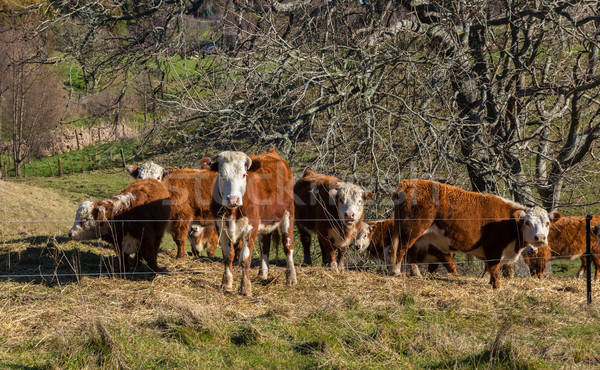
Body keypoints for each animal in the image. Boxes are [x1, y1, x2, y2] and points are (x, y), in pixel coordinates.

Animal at [200, 149, 296, 296]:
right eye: (221, 174)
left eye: (244, 174)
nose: (233, 199)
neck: (233, 211)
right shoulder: (221, 226)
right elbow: (228, 256)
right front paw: (226, 284)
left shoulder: (251, 227)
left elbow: (245, 259)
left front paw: (245, 287)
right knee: (265, 246)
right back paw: (263, 275)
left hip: (288, 214)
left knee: (288, 246)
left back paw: (291, 278)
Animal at [390, 180, 564, 290]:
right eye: (527, 222)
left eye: (547, 223)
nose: (540, 238)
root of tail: (407, 182)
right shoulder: (494, 248)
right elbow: (494, 268)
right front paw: (497, 287)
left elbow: (490, 268)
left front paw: (491, 283)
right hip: (411, 229)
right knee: (402, 250)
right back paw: (396, 271)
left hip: (418, 236)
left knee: (411, 254)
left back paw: (416, 274)